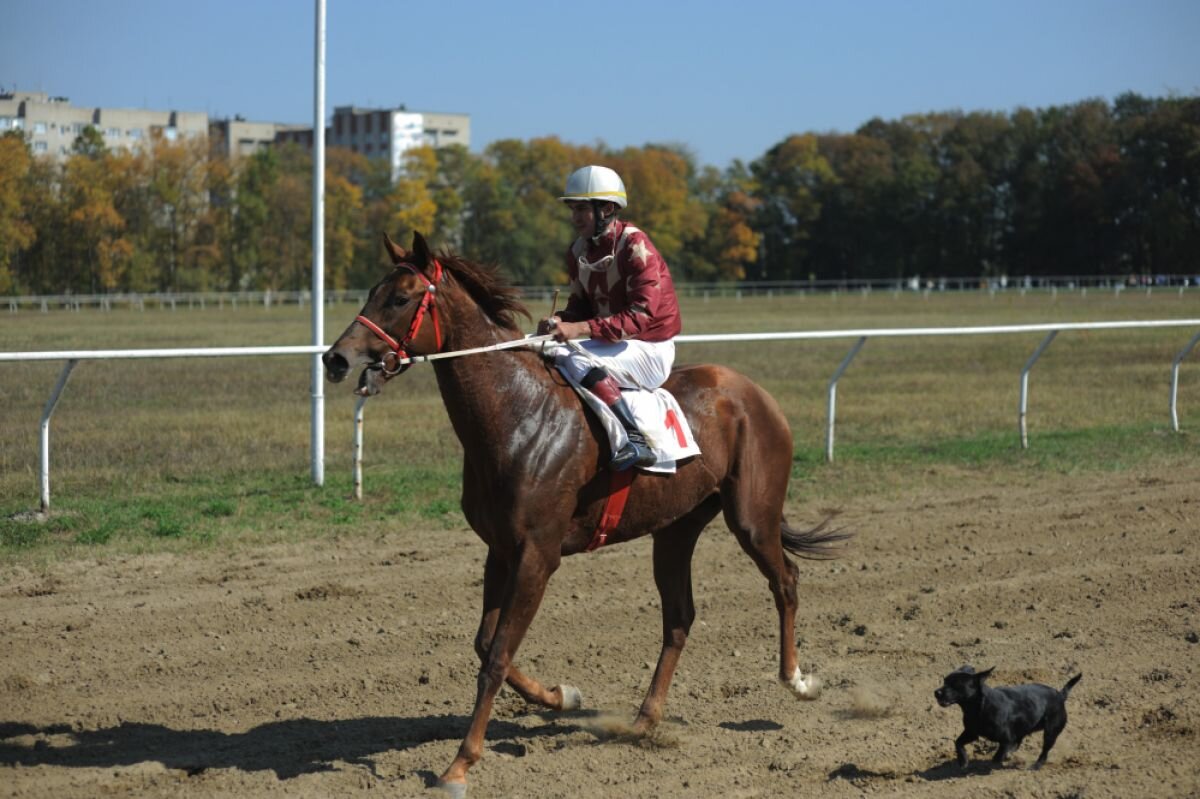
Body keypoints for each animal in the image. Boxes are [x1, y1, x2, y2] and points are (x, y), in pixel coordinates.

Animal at [319, 230, 844, 791]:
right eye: (372, 291)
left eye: (400, 298)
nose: (336, 359)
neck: (518, 417)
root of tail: (753, 392)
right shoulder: (500, 550)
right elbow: (485, 643)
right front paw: (561, 696)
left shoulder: (538, 555)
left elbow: (497, 655)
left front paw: (460, 763)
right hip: (675, 529)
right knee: (679, 616)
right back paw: (644, 719)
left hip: (752, 516)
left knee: (785, 580)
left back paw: (797, 679)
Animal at [931, 662, 1084, 767]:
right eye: (945, 681)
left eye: (956, 685)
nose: (936, 692)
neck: (978, 708)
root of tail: (1060, 695)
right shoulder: (971, 732)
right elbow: (958, 742)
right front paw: (963, 760)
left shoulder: (1007, 738)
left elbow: (998, 754)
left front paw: (997, 761)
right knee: (1020, 740)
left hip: (1051, 732)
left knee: (1044, 752)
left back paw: (1035, 765)